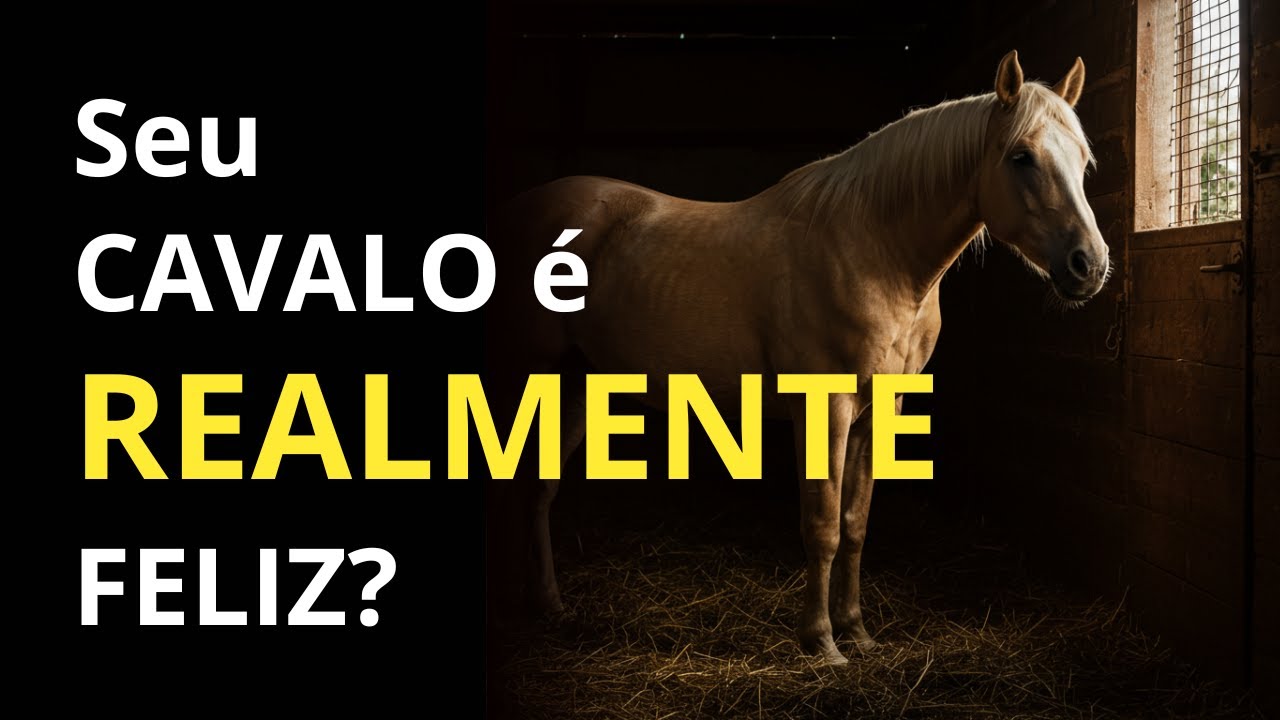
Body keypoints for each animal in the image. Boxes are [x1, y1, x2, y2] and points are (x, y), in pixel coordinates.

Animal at [487, 50, 1109, 665]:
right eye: (1021, 157)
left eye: (1083, 160)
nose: (1090, 264)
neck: (876, 252)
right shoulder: (824, 408)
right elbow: (823, 525)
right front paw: (822, 642)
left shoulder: (879, 412)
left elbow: (856, 523)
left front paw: (857, 631)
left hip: (573, 383)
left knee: (538, 488)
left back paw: (550, 605)